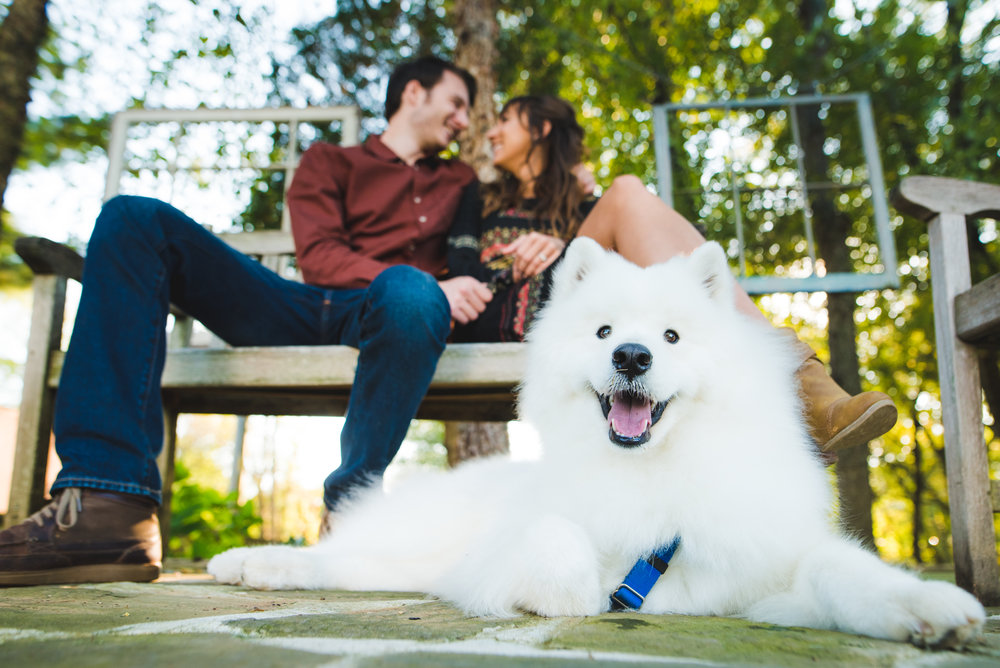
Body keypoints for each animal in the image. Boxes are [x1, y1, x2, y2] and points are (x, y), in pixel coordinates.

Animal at [211, 236, 984, 648]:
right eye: (604, 331)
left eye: (671, 336)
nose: (632, 356)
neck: (649, 472)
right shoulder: (503, 552)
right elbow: (556, 545)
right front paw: (574, 588)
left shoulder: (765, 562)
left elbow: (837, 568)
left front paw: (925, 608)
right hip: (418, 537)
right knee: (339, 551)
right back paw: (242, 563)